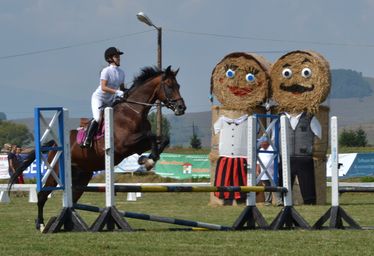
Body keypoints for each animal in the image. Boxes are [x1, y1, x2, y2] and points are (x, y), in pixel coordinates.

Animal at [9, 65, 187, 229]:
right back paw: (40, 224)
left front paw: (147, 160)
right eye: (169, 86)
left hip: (82, 176)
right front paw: (148, 161)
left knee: (72, 198)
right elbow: (150, 136)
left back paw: (70, 224)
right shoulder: (125, 144)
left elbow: (162, 139)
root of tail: (55, 144)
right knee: (42, 195)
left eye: (178, 85)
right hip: (56, 173)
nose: (181, 108)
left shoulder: (137, 145)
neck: (133, 112)